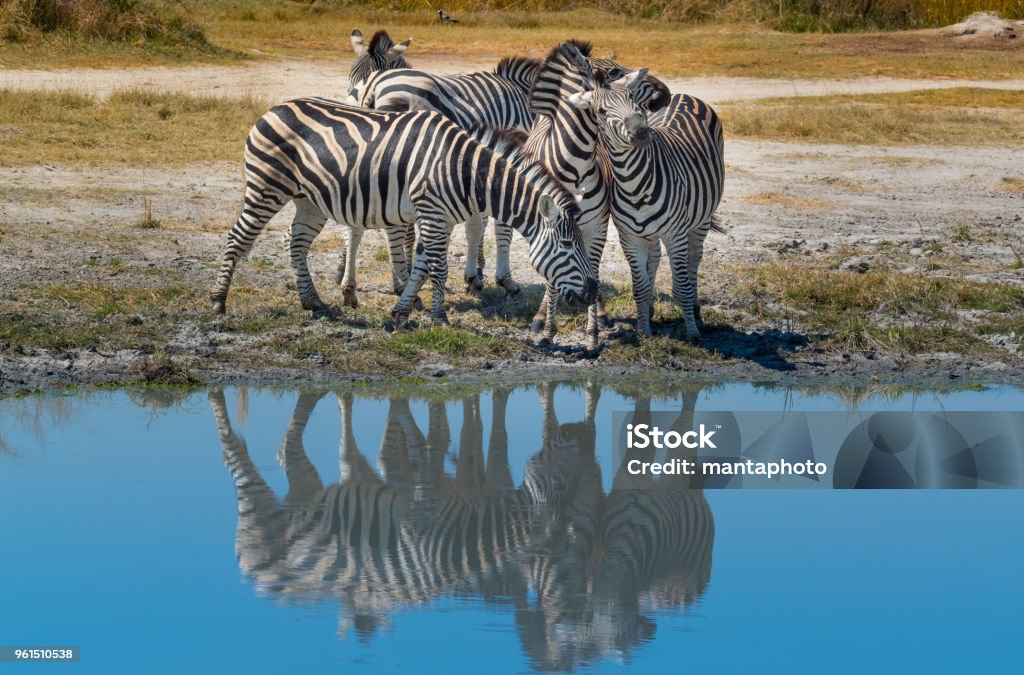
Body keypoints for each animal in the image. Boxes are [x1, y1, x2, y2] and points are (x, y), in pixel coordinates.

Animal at [210, 97, 598, 325]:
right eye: (567, 246)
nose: (593, 293)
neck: (464, 170)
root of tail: (273, 109)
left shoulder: (437, 218)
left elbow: (423, 265)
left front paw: (400, 312)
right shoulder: (432, 214)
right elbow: (439, 269)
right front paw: (440, 318)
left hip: (310, 200)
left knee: (296, 243)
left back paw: (314, 303)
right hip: (266, 186)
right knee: (236, 238)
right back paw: (218, 301)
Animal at [569, 70, 729, 338]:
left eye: (634, 100)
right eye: (601, 111)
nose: (641, 132)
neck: (635, 186)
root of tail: (684, 95)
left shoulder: (676, 234)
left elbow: (682, 285)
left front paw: (692, 332)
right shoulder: (630, 238)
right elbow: (640, 286)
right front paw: (644, 330)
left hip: (702, 218)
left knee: (694, 259)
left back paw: (696, 310)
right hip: (650, 233)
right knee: (654, 258)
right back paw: (652, 310)